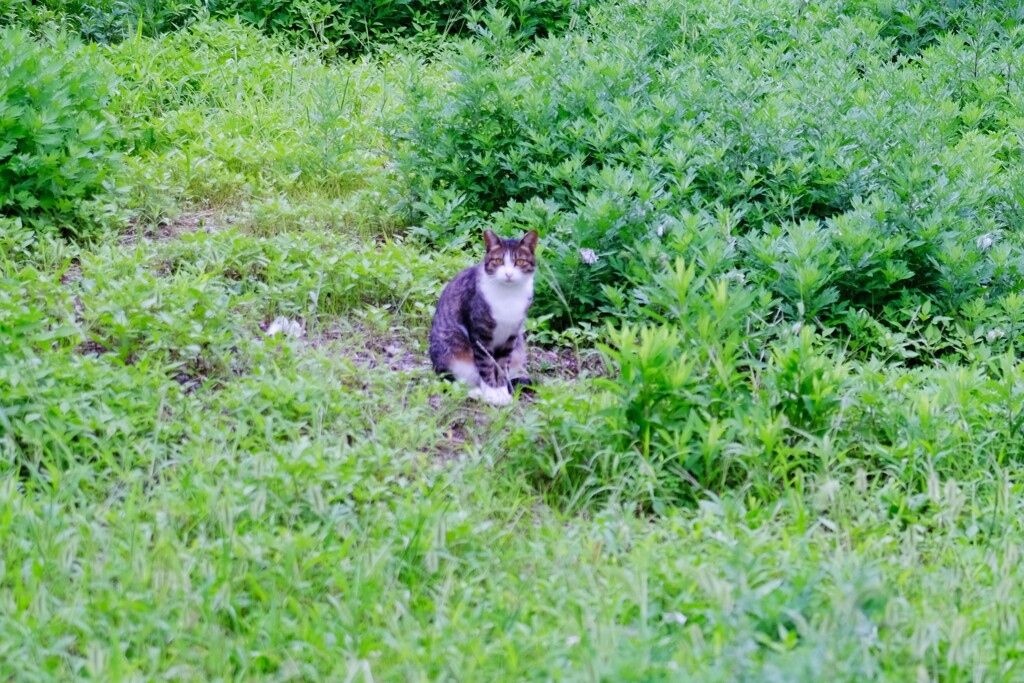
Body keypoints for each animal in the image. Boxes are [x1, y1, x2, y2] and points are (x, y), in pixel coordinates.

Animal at [428, 229, 540, 403]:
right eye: (499, 260)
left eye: (520, 261)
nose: (508, 274)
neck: (508, 296)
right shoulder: (480, 334)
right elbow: (486, 364)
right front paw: (492, 393)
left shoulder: (511, 336)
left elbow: (501, 366)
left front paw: (502, 391)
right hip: (452, 352)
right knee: (453, 381)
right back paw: (476, 392)